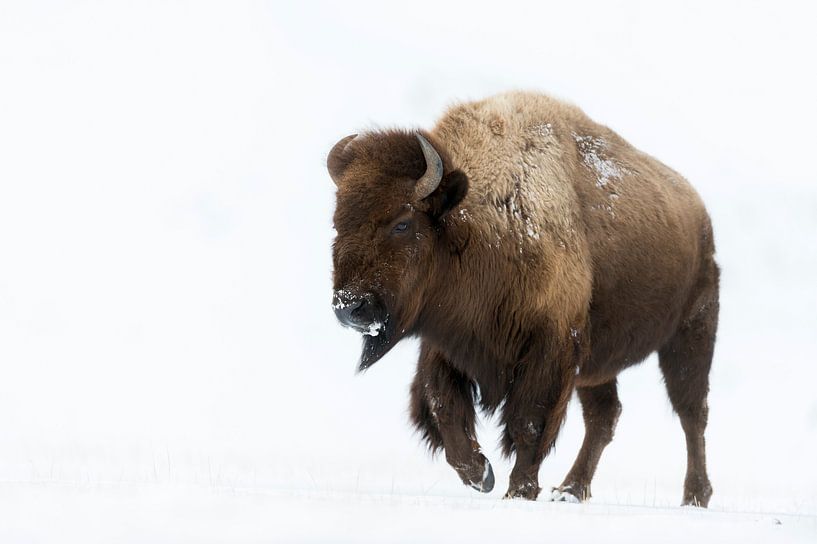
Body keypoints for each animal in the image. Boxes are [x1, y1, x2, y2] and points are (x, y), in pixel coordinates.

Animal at [328, 91, 718, 506]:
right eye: (337, 223)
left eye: (403, 223)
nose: (349, 307)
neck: (476, 225)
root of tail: (699, 213)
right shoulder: (447, 344)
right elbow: (443, 408)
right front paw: (481, 474)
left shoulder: (551, 348)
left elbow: (528, 421)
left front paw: (519, 491)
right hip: (598, 365)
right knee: (604, 417)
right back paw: (570, 490)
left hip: (691, 335)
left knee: (691, 412)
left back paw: (695, 495)